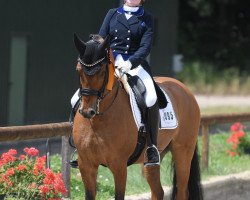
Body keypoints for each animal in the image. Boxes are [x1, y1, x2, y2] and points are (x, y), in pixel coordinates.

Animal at [72, 33, 203, 199]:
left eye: (101, 71)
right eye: (78, 70)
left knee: (181, 190)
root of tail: (184, 89)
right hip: (152, 160)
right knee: (158, 191)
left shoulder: (119, 166)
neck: (98, 121)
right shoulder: (86, 165)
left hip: (183, 151)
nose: (87, 112)